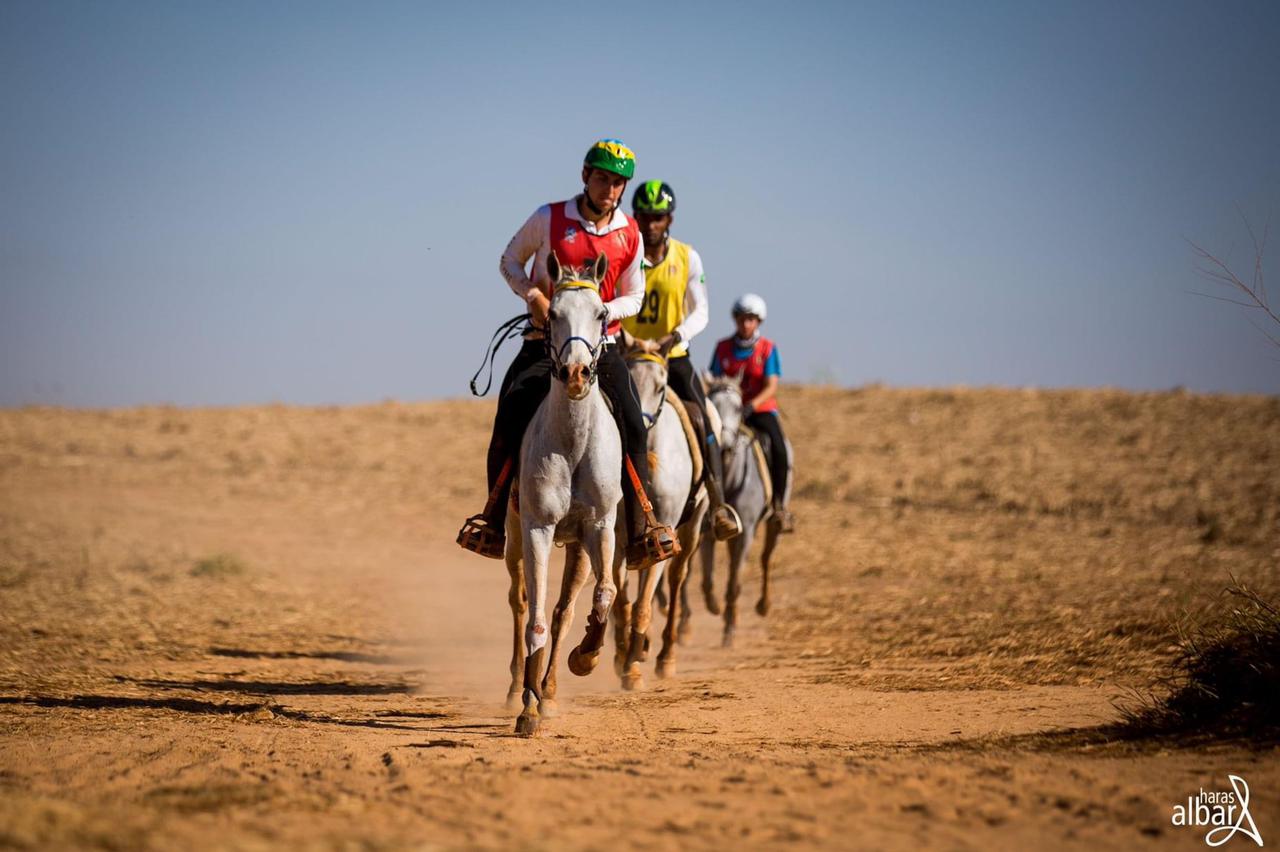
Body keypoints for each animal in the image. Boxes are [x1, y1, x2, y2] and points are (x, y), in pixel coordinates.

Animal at [609, 335, 711, 685]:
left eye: (660, 386)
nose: (636, 427)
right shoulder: (619, 537)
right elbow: (622, 599)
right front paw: (624, 653)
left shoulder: (664, 535)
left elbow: (642, 603)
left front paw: (632, 667)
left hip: (692, 529)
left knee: (677, 578)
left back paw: (665, 655)